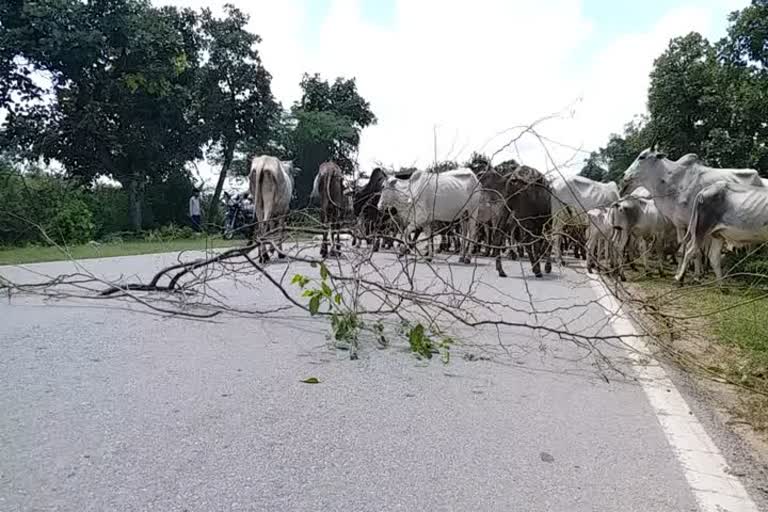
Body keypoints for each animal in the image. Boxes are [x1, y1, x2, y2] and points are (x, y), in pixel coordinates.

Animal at [624, 148, 760, 276]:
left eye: (642, 157)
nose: (625, 175)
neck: (674, 183)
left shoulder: (695, 225)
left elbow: (696, 251)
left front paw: (696, 274)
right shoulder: (680, 224)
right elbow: (684, 249)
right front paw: (685, 272)